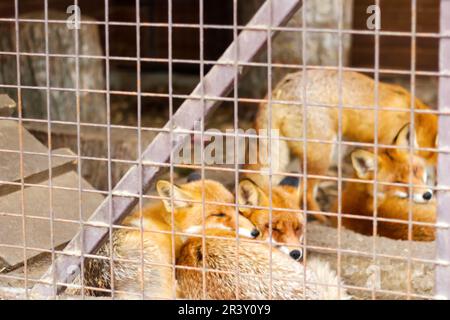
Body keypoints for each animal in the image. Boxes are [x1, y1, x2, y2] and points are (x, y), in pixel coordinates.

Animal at [248, 69, 438, 215]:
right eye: (399, 181)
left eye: (416, 171)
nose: (428, 195)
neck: (417, 119)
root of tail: (279, 88)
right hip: (323, 156)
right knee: (306, 193)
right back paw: (323, 220)